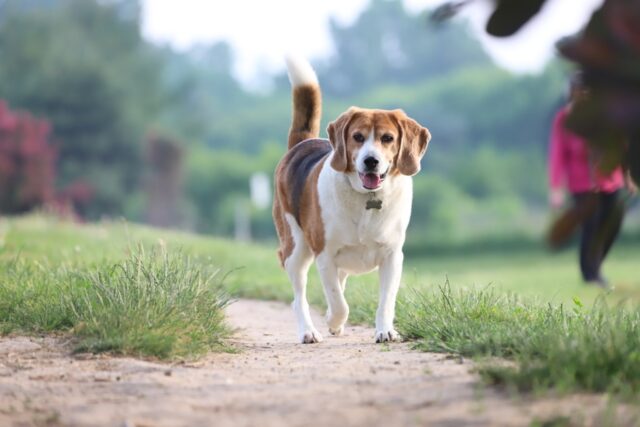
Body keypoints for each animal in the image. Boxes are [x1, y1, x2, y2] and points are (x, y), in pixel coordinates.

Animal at [274, 56, 430, 344]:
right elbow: (339, 302)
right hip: (295, 249)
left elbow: (386, 301)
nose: (371, 161)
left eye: (387, 138)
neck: (367, 200)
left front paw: (385, 330)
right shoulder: (325, 254)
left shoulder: (393, 256)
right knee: (299, 297)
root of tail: (301, 144)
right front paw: (333, 320)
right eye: (358, 137)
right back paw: (309, 331)